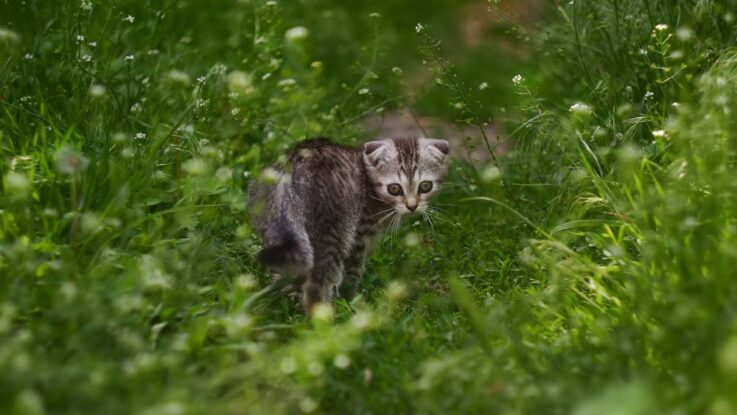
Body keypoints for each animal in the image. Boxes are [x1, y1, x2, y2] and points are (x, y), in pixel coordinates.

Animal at [249, 136, 448, 312]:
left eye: (425, 186)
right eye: (394, 188)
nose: (412, 206)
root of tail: (289, 170)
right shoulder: (359, 232)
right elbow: (354, 269)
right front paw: (350, 298)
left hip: (274, 223)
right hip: (331, 229)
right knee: (316, 282)